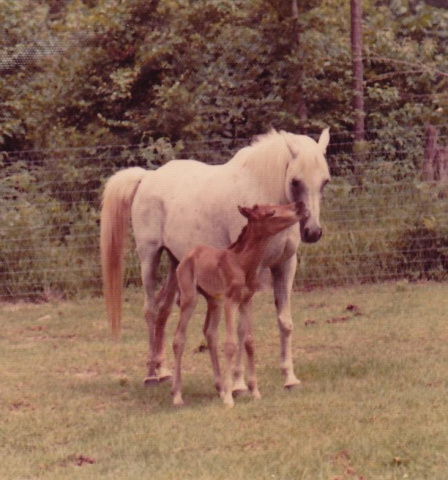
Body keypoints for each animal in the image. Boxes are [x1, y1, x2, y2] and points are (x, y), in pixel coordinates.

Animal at [172, 202, 308, 408]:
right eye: (271, 212)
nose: (299, 206)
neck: (242, 263)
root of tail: (188, 255)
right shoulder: (231, 300)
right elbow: (230, 344)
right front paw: (230, 398)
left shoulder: (246, 300)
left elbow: (249, 341)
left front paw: (254, 392)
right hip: (190, 297)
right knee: (179, 337)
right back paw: (178, 396)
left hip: (214, 300)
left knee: (210, 333)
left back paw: (220, 389)